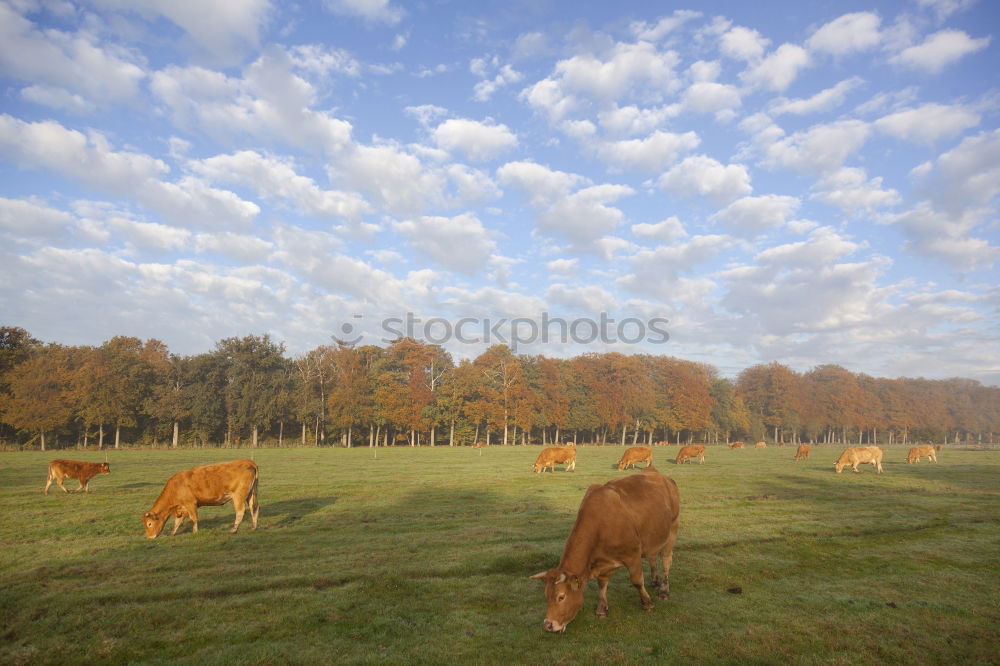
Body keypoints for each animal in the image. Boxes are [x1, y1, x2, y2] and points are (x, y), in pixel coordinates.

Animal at [532, 464, 680, 632]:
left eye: (561, 597)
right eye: (546, 596)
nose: (548, 625)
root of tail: (662, 476)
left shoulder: (632, 555)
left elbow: (637, 581)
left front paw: (647, 603)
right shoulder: (603, 562)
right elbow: (602, 584)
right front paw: (602, 608)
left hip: (672, 529)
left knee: (666, 560)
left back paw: (664, 590)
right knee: (652, 556)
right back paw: (655, 580)